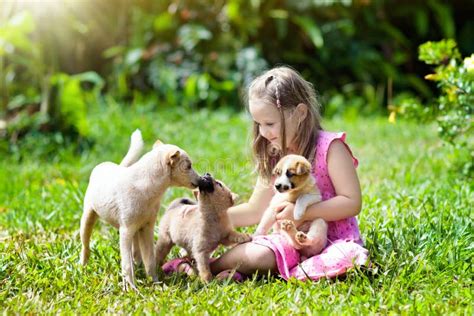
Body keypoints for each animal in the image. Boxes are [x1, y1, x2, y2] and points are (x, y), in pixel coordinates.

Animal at [79, 129, 200, 292]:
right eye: (188, 166)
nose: (201, 180)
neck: (147, 189)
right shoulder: (126, 231)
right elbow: (126, 264)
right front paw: (131, 289)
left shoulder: (147, 228)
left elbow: (150, 259)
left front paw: (155, 284)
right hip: (88, 217)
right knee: (85, 246)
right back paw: (83, 267)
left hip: (136, 231)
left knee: (136, 253)